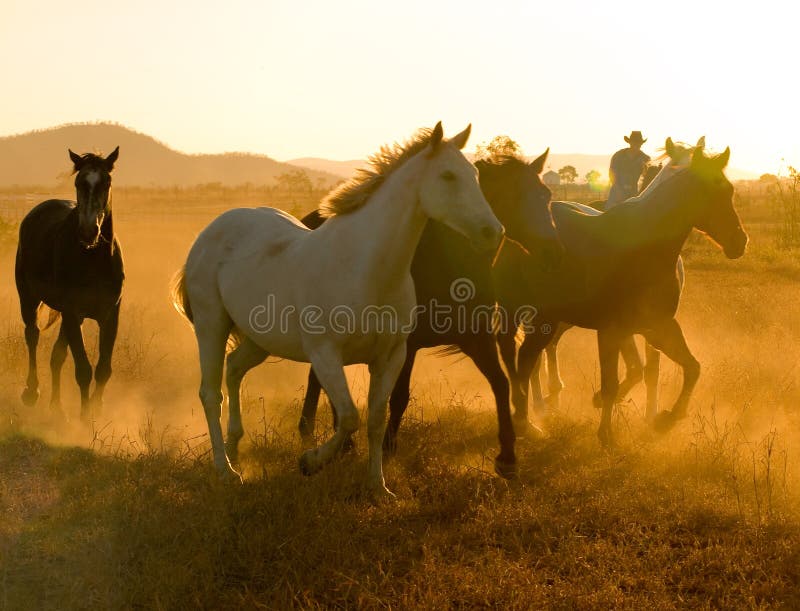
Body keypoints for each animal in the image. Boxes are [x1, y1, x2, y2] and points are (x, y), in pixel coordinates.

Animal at [15, 149, 124, 420]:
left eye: (106, 182)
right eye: (78, 183)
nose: (88, 232)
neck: (94, 260)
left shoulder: (109, 315)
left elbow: (103, 368)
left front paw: (97, 408)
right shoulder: (73, 313)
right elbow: (83, 369)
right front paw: (85, 419)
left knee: (57, 355)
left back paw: (57, 406)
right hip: (29, 298)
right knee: (32, 335)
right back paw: (32, 392)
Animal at [173, 123, 504, 498]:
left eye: (475, 174)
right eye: (448, 175)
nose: (493, 232)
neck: (366, 270)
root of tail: (210, 232)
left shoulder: (391, 356)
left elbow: (375, 420)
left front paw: (378, 488)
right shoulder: (326, 354)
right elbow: (348, 417)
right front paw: (310, 462)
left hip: (259, 341)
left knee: (233, 370)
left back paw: (234, 450)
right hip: (211, 325)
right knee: (210, 393)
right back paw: (225, 471)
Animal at [494, 140, 752, 444]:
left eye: (729, 191)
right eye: (706, 192)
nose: (739, 241)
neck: (645, 251)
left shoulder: (658, 326)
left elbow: (690, 368)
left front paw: (665, 420)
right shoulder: (611, 331)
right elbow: (612, 384)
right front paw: (606, 434)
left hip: (548, 320)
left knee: (528, 360)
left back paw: (530, 421)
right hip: (520, 313)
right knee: (521, 361)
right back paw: (530, 418)